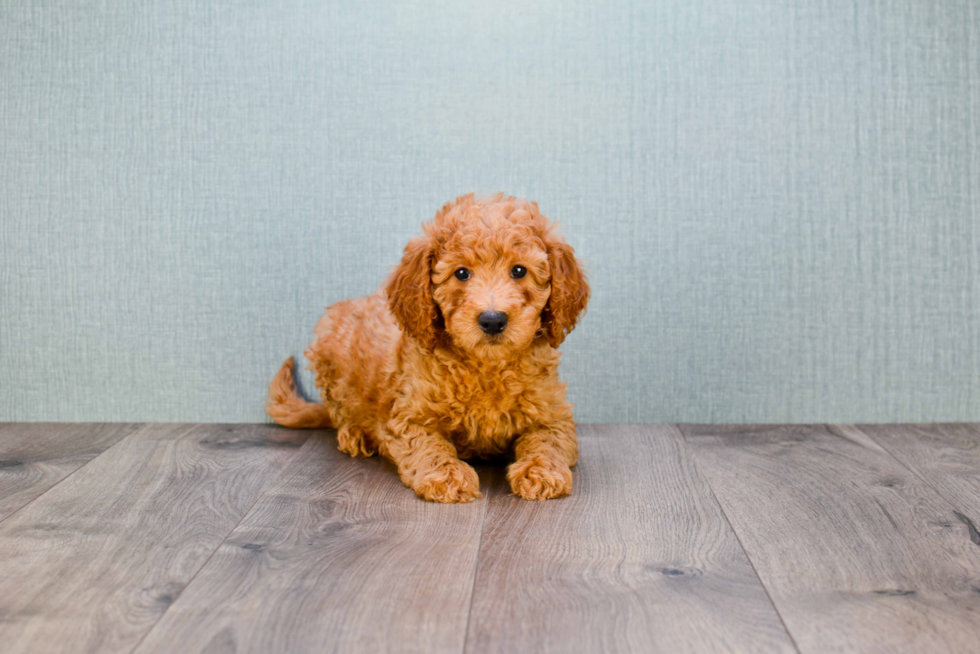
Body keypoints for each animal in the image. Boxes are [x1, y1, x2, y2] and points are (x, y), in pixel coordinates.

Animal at [268, 192, 584, 504]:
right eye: (461, 273)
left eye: (519, 271)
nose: (493, 320)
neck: (486, 367)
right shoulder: (408, 417)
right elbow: (428, 446)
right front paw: (447, 475)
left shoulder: (553, 415)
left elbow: (547, 441)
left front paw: (540, 471)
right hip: (330, 345)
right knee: (339, 411)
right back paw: (356, 434)